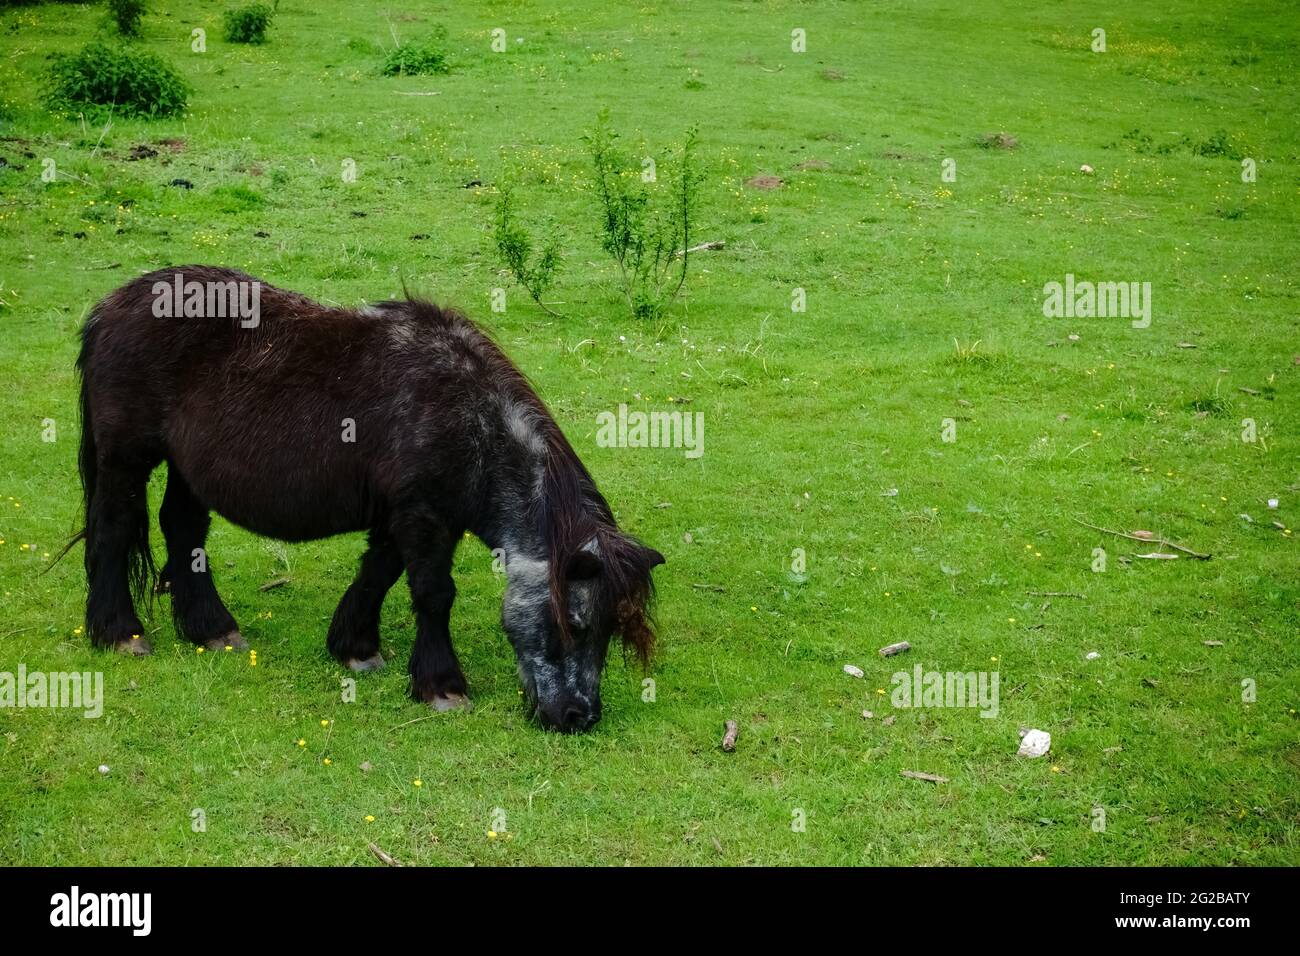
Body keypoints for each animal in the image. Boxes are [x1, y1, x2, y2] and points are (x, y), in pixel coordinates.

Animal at [71, 265, 664, 732]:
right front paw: (441, 685)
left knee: (183, 530)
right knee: (114, 530)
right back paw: (120, 633)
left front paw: (355, 647)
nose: (579, 718)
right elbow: (432, 594)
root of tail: (109, 309)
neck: (470, 419)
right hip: (126, 458)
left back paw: (212, 629)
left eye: (610, 633)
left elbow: (378, 573)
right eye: (578, 626)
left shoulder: (404, 516)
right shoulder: (424, 517)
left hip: (186, 468)